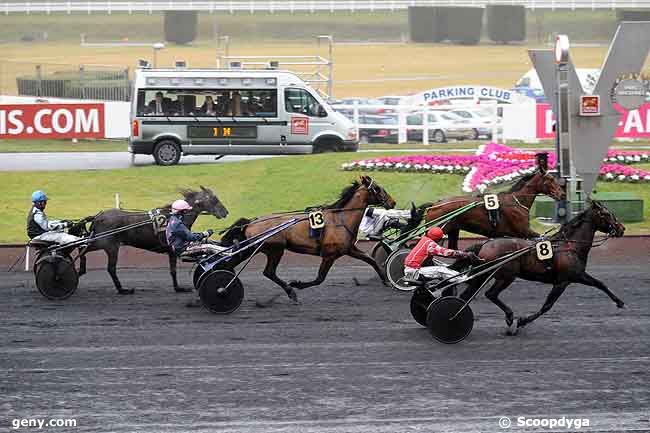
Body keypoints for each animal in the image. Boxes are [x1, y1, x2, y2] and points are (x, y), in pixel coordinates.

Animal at [220, 174, 394, 302]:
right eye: (377, 188)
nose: (393, 202)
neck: (341, 220)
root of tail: (251, 222)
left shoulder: (350, 249)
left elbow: (371, 260)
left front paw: (386, 280)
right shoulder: (329, 255)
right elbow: (320, 278)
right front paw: (296, 284)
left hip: (253, 249)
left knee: (237, 265)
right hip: (274, 249)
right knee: (268, 272)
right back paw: (289, 291)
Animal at [422, 170, 564, 250]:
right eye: (550, 179)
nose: (562, 194)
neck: (516, 202)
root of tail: (435, 204)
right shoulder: (524, 231)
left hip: (453, 230)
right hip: (438, 230)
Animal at [456, 201, 624, 332]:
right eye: (606, 214)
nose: (621, 228)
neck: (570, 246)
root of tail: (485, 244)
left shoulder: (577, 275)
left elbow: (600, 284)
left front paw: (619, 302)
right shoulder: (563, 281)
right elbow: (547, 306)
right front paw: (522, 321)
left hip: (484, 275)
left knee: (466, 296)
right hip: (506, 276)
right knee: (490, 294)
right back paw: (509, 316)